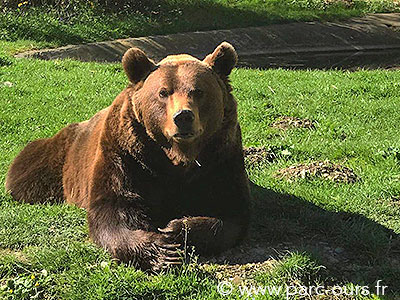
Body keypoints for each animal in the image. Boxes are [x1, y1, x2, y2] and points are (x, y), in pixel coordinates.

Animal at [4, 42, 250, 272]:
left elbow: (230, 211)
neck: (175, 158)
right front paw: (163, 252)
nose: (183, 117)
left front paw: (175, 228)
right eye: (163, 92)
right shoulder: (128, 155)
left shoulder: (219, 158)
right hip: (59, 155)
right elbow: (114, 210)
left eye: (198, 91)